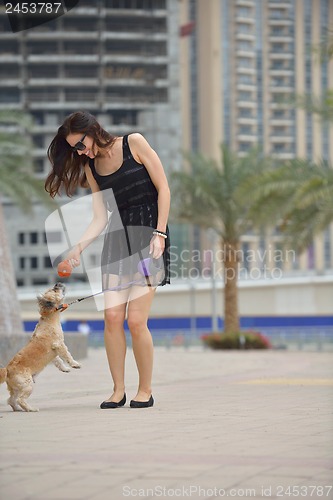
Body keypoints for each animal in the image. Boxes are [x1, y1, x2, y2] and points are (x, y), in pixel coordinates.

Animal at [0, 284, 80, 412]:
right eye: (54, 290)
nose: (57, 283)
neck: (49, 319)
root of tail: (7, 370)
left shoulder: (54, 353)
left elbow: (58, 361)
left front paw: (65, 369)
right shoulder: (59, 344)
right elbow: (67, 355)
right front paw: (74, 364)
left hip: (17, 389)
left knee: (11, 400)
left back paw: (18, 409)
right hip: (27, 385)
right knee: (20, 400)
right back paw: (31, 409)